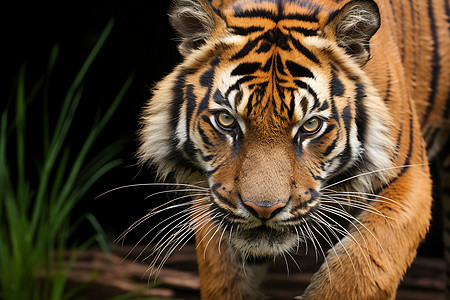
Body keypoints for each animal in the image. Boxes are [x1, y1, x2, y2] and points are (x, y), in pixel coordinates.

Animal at [137, 0, 450, 298]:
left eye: (310, 125)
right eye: (226, 120)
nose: (263, 210)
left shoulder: (408, 177)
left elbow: (361, 272)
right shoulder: (211, 195)